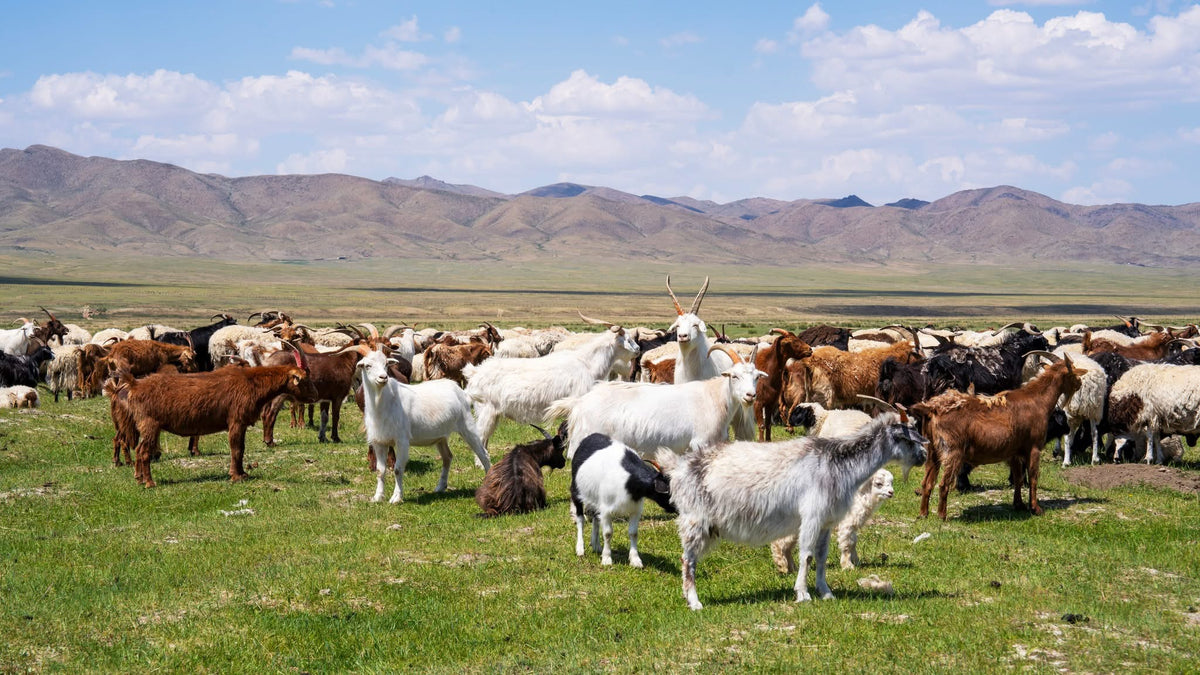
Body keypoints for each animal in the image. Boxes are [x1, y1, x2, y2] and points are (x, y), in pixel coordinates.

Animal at [357, 347, 492, 503]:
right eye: (367, 366)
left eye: (386, 364)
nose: (383, 377)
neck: (384, 402)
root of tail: (461, 391)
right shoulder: (379, 441)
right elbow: (380, 471)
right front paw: (377, 497)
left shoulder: (402, 440)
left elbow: (397, 469)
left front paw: (396, 497)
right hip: (441, 437)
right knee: (447, 457)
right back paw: (440, 487)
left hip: (467, 426)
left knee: (483, 454)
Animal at [464, 313, 639, 451]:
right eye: (628, 339)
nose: (638, 349)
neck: (587, 363)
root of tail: (475, 372)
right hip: (486, 410)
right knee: (480, 437)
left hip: (492, 413)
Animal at [549, 344, 766, 459]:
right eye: (734, 376)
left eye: (756, 377)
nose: (750, 395)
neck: (714, 399)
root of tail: (580, 402)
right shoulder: (700, 443)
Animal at [570, 433, 675, 568]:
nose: (677, 509)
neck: (629, 481)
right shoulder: (606, 509)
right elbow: (608, 533)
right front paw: (606, 559)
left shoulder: (635, 510)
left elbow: (633, 533)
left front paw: (635, 560)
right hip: (576, 491)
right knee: (580, 519)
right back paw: (580, 549)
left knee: (595, 519)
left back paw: (596, 546)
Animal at [657, 405, 927, 609]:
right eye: (907, 437)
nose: (924, 456)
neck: (837, 464)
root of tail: (679, 466)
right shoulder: (811, 516)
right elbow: (806, 554)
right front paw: (803, 594)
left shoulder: (826, 521)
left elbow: (821, 556)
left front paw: (826, 592)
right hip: (695, 520)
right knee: (688, 559)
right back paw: (695, 602)